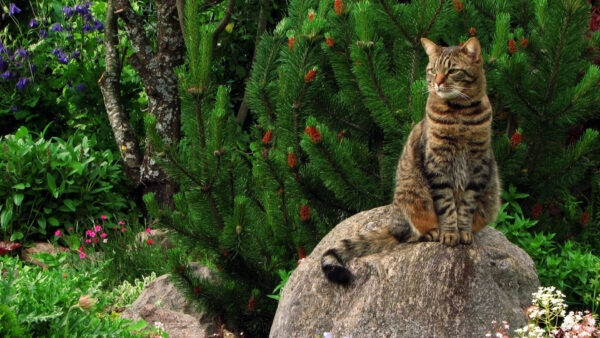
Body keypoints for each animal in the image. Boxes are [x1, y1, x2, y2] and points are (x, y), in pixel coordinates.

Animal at [322, 37, 500, 284]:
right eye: (433, 70)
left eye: (452, 71)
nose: (437, 83)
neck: (460, 114)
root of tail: (392, 225)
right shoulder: (437, 165)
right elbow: (446, 206)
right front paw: (449, 233)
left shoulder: (479, 166)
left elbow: (466, 205)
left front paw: (463, 231)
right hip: (412, 194)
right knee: (410, 234)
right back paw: (431, 232)